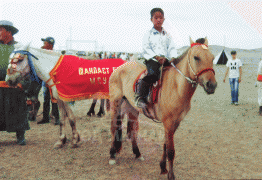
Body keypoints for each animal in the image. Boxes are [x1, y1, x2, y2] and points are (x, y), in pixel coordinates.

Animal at [108, 37, 217, 179]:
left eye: (213, 58)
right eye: (196, 57)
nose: (212, 85)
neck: (176, 87)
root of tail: (119, 68)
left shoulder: (174, 123)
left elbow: (165, 145)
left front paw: (163, 167)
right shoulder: (169, 122)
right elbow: (171, 150)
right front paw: (171, 175)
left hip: (132, 108)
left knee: (132, 130)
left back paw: (137, 153)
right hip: (115, 104)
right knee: (114, 127)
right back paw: (112, 155)